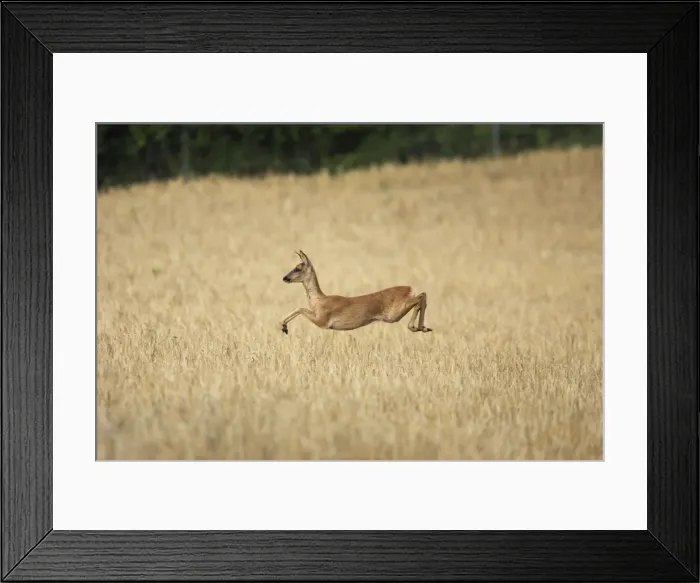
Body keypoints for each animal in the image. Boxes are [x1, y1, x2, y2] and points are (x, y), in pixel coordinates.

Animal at [279, 250, 432, 335]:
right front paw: (283, 326)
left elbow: (300, 308)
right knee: (421, 296)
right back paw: (423, 327)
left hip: (393, 315)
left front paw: (283, 326)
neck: (319, 300)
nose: (285, 278)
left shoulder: (322, 321)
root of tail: (408, 288)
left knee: (421, 296)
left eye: (298, 268)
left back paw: (418, 327)